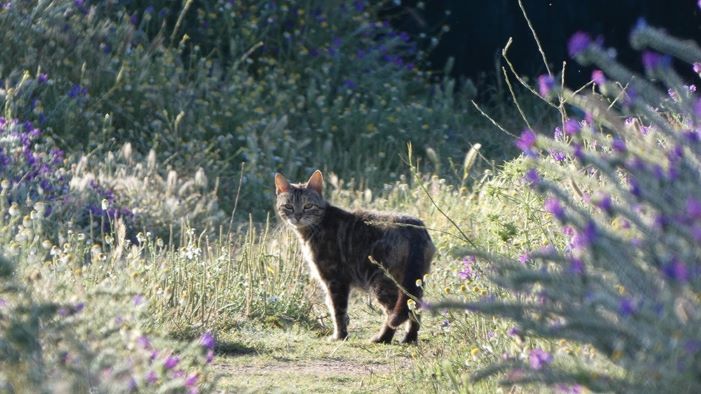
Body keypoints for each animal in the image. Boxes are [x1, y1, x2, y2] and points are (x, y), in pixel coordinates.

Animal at [272, 171, 432, 344]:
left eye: (308, 206)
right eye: (288, 206)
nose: (298, 216)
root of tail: (414, 228)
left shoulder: (335, 280)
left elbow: (338, 311)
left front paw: (340, 336)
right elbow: (336, 309)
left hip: (382, 283)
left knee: (395, 313)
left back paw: (383, 338)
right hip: (413, 283)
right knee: (415, 309)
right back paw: (410, 338)